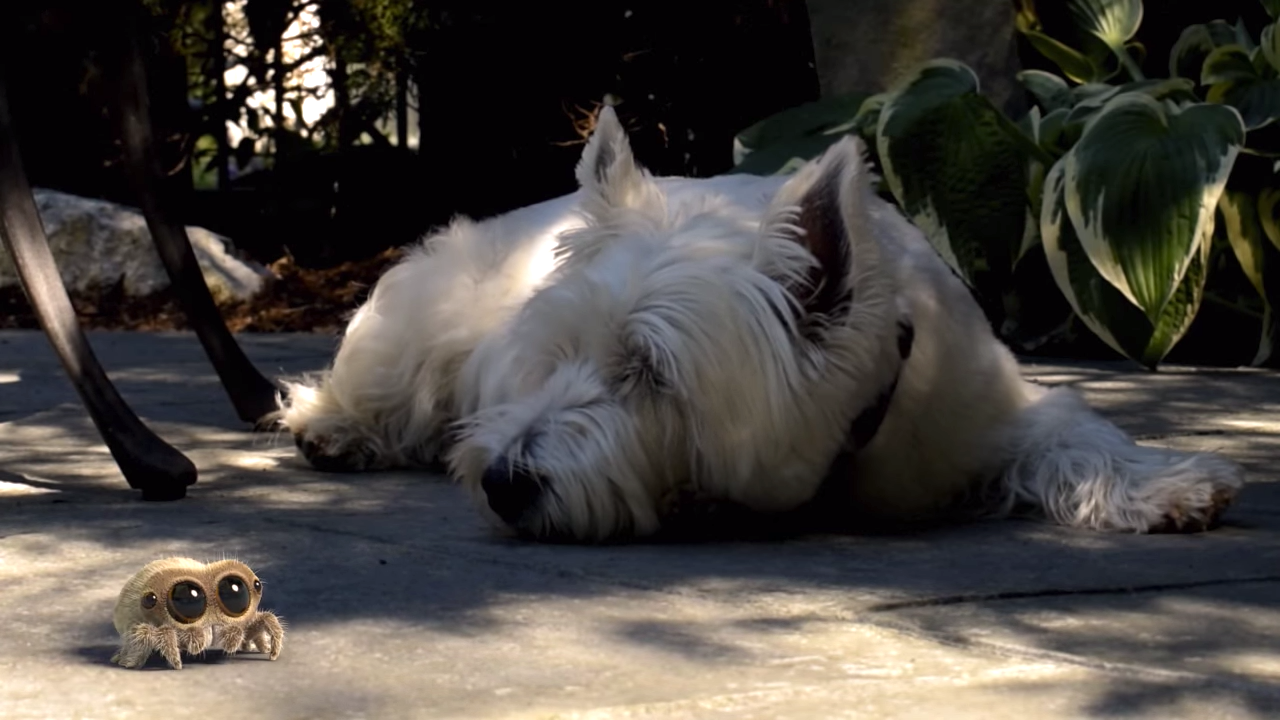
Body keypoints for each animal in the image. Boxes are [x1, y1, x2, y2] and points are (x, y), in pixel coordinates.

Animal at [275, 106, 1244, 540]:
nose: (504, 482)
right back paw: (334, 426)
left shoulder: (986, 411)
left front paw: (1172, 487)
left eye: (650, 371)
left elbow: (1078, 433)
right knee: (388, 381)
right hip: (428, 316)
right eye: (554, 355)